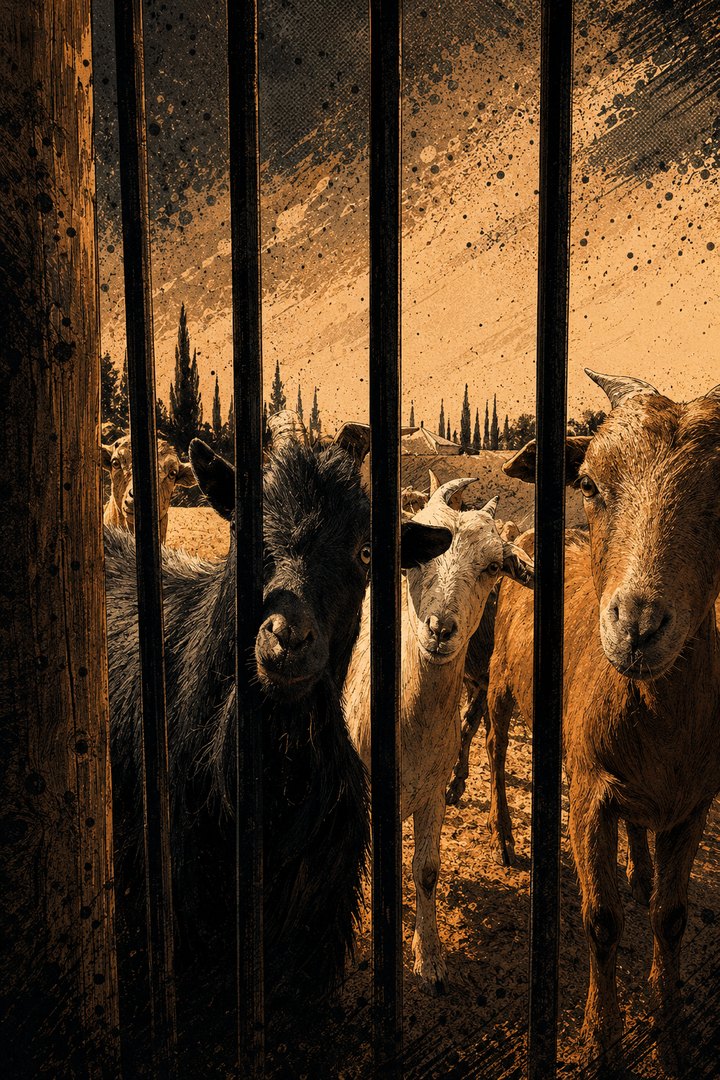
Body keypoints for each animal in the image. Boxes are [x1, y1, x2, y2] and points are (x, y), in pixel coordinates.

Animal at [344, 478, 533, 995]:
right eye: (417, 558)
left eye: (492, 567)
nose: (441, 628)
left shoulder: (429, 792)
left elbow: (426, 872)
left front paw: (429, 960)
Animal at [479, 371, 720, 1071]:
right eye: (588, 484)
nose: (637, 626)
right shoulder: (589, 793)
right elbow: (601, 920)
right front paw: (601, 1036)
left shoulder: (694, 803)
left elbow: (671, 918)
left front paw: (670, 1027)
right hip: (501, 683)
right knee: (496, 751)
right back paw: (507, 837)